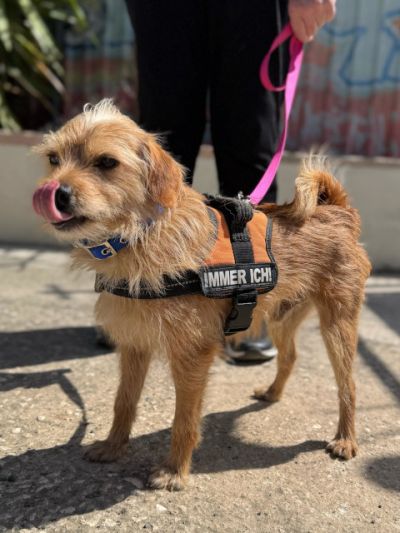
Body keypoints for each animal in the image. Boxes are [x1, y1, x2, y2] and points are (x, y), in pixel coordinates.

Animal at [32, 100, 371, 490]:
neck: (141, 235)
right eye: (54, 159)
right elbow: (124, 401)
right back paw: (272, 393)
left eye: (106, 162)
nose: (55, 192)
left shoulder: (192, 355)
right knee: (290, 357)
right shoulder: (134, 345)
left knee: (349, 385)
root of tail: (338, 211)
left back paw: (346, 438)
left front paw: (174, 470)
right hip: (281, 317)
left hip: (338, 326)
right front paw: (113, 446)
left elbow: (184, 419)